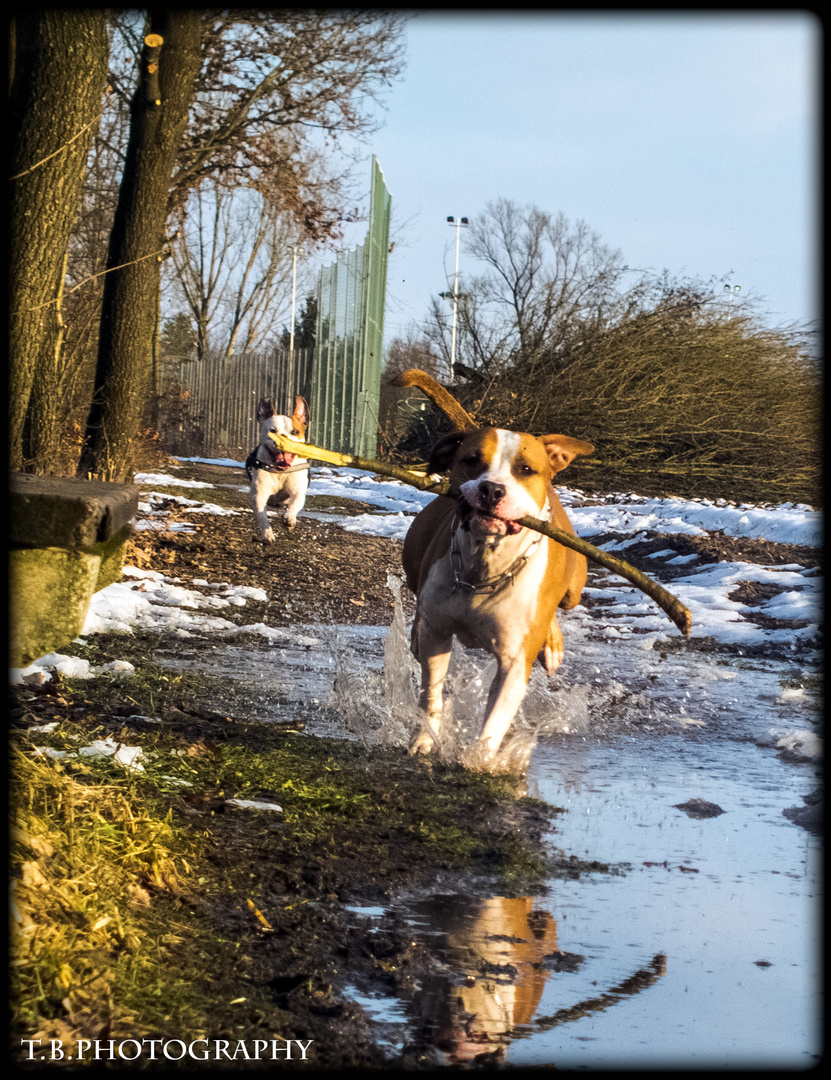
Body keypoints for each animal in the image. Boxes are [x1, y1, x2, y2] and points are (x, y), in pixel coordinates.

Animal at [399, 421, 587, 760]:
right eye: (472, 460)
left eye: (525, 469)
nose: (492, 489)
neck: (483, 566)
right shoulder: (438, 634)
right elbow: (431, 692)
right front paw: (424, 739)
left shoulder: (515, 662)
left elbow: (496, 718)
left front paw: (480, 759)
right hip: (413, 564)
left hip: (574, 588)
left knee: (559, 606)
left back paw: (552, 645)